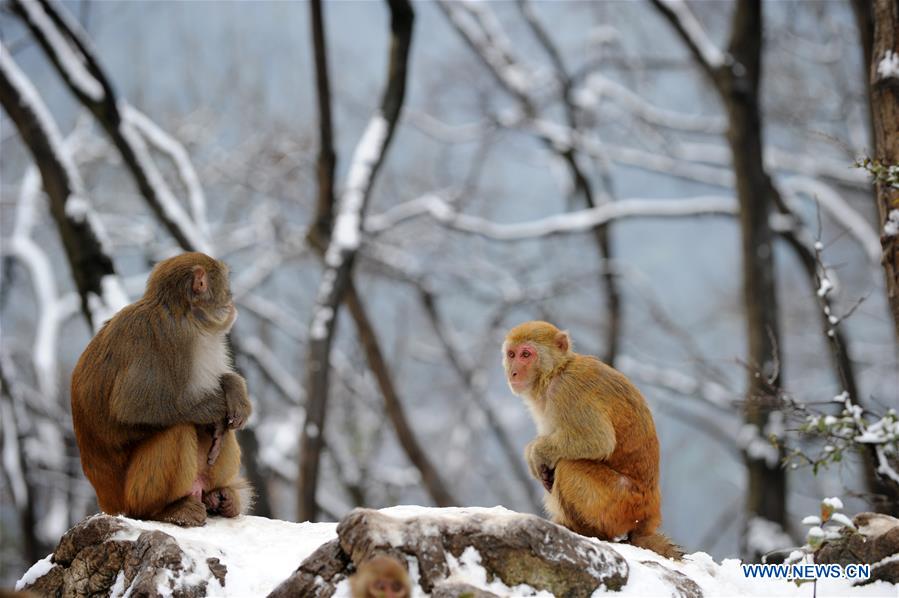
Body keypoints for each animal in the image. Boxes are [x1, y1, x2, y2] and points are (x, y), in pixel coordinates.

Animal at [70, 252, 252, 527]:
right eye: (225, 285)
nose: (232, 299)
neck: (186, 314)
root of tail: (109, 504)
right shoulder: (171, 337)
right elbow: (134, 409)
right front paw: (219, 408)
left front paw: (234, 389)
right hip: (131, 497)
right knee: (177, 429)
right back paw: (165, 510)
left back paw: (221, 497)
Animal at [502, 320, 683, 559]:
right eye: (511, 354)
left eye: (526, 354)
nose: (513, 372)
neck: (555, 372)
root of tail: (649, 516)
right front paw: (534, 455)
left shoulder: (568, 389)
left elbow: (598, 440)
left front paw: (536, 453)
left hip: (619, 505)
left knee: (568, 466)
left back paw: (583, 530)